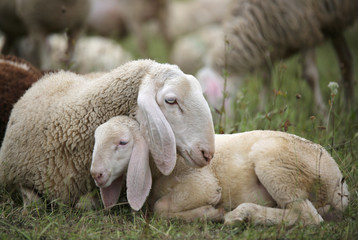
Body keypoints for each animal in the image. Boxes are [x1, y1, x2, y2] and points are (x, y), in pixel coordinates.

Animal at [91, 116, 350, 225]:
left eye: (123, 142)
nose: (96, 174)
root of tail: (339, 183)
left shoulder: (202, 184)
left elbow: (160, 208)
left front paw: (210, 213)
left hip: (277, 164)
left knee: (307, 216)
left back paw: (241, 214)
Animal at [200, 0, 356, 116]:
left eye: (206, 96)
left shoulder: (305, 29)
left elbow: (310, 76)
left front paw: (323, 116)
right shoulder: (267, 46)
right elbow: (265, 78)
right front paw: (261, 113)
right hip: (333, 23)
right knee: (346, 59)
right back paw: (348, 109)